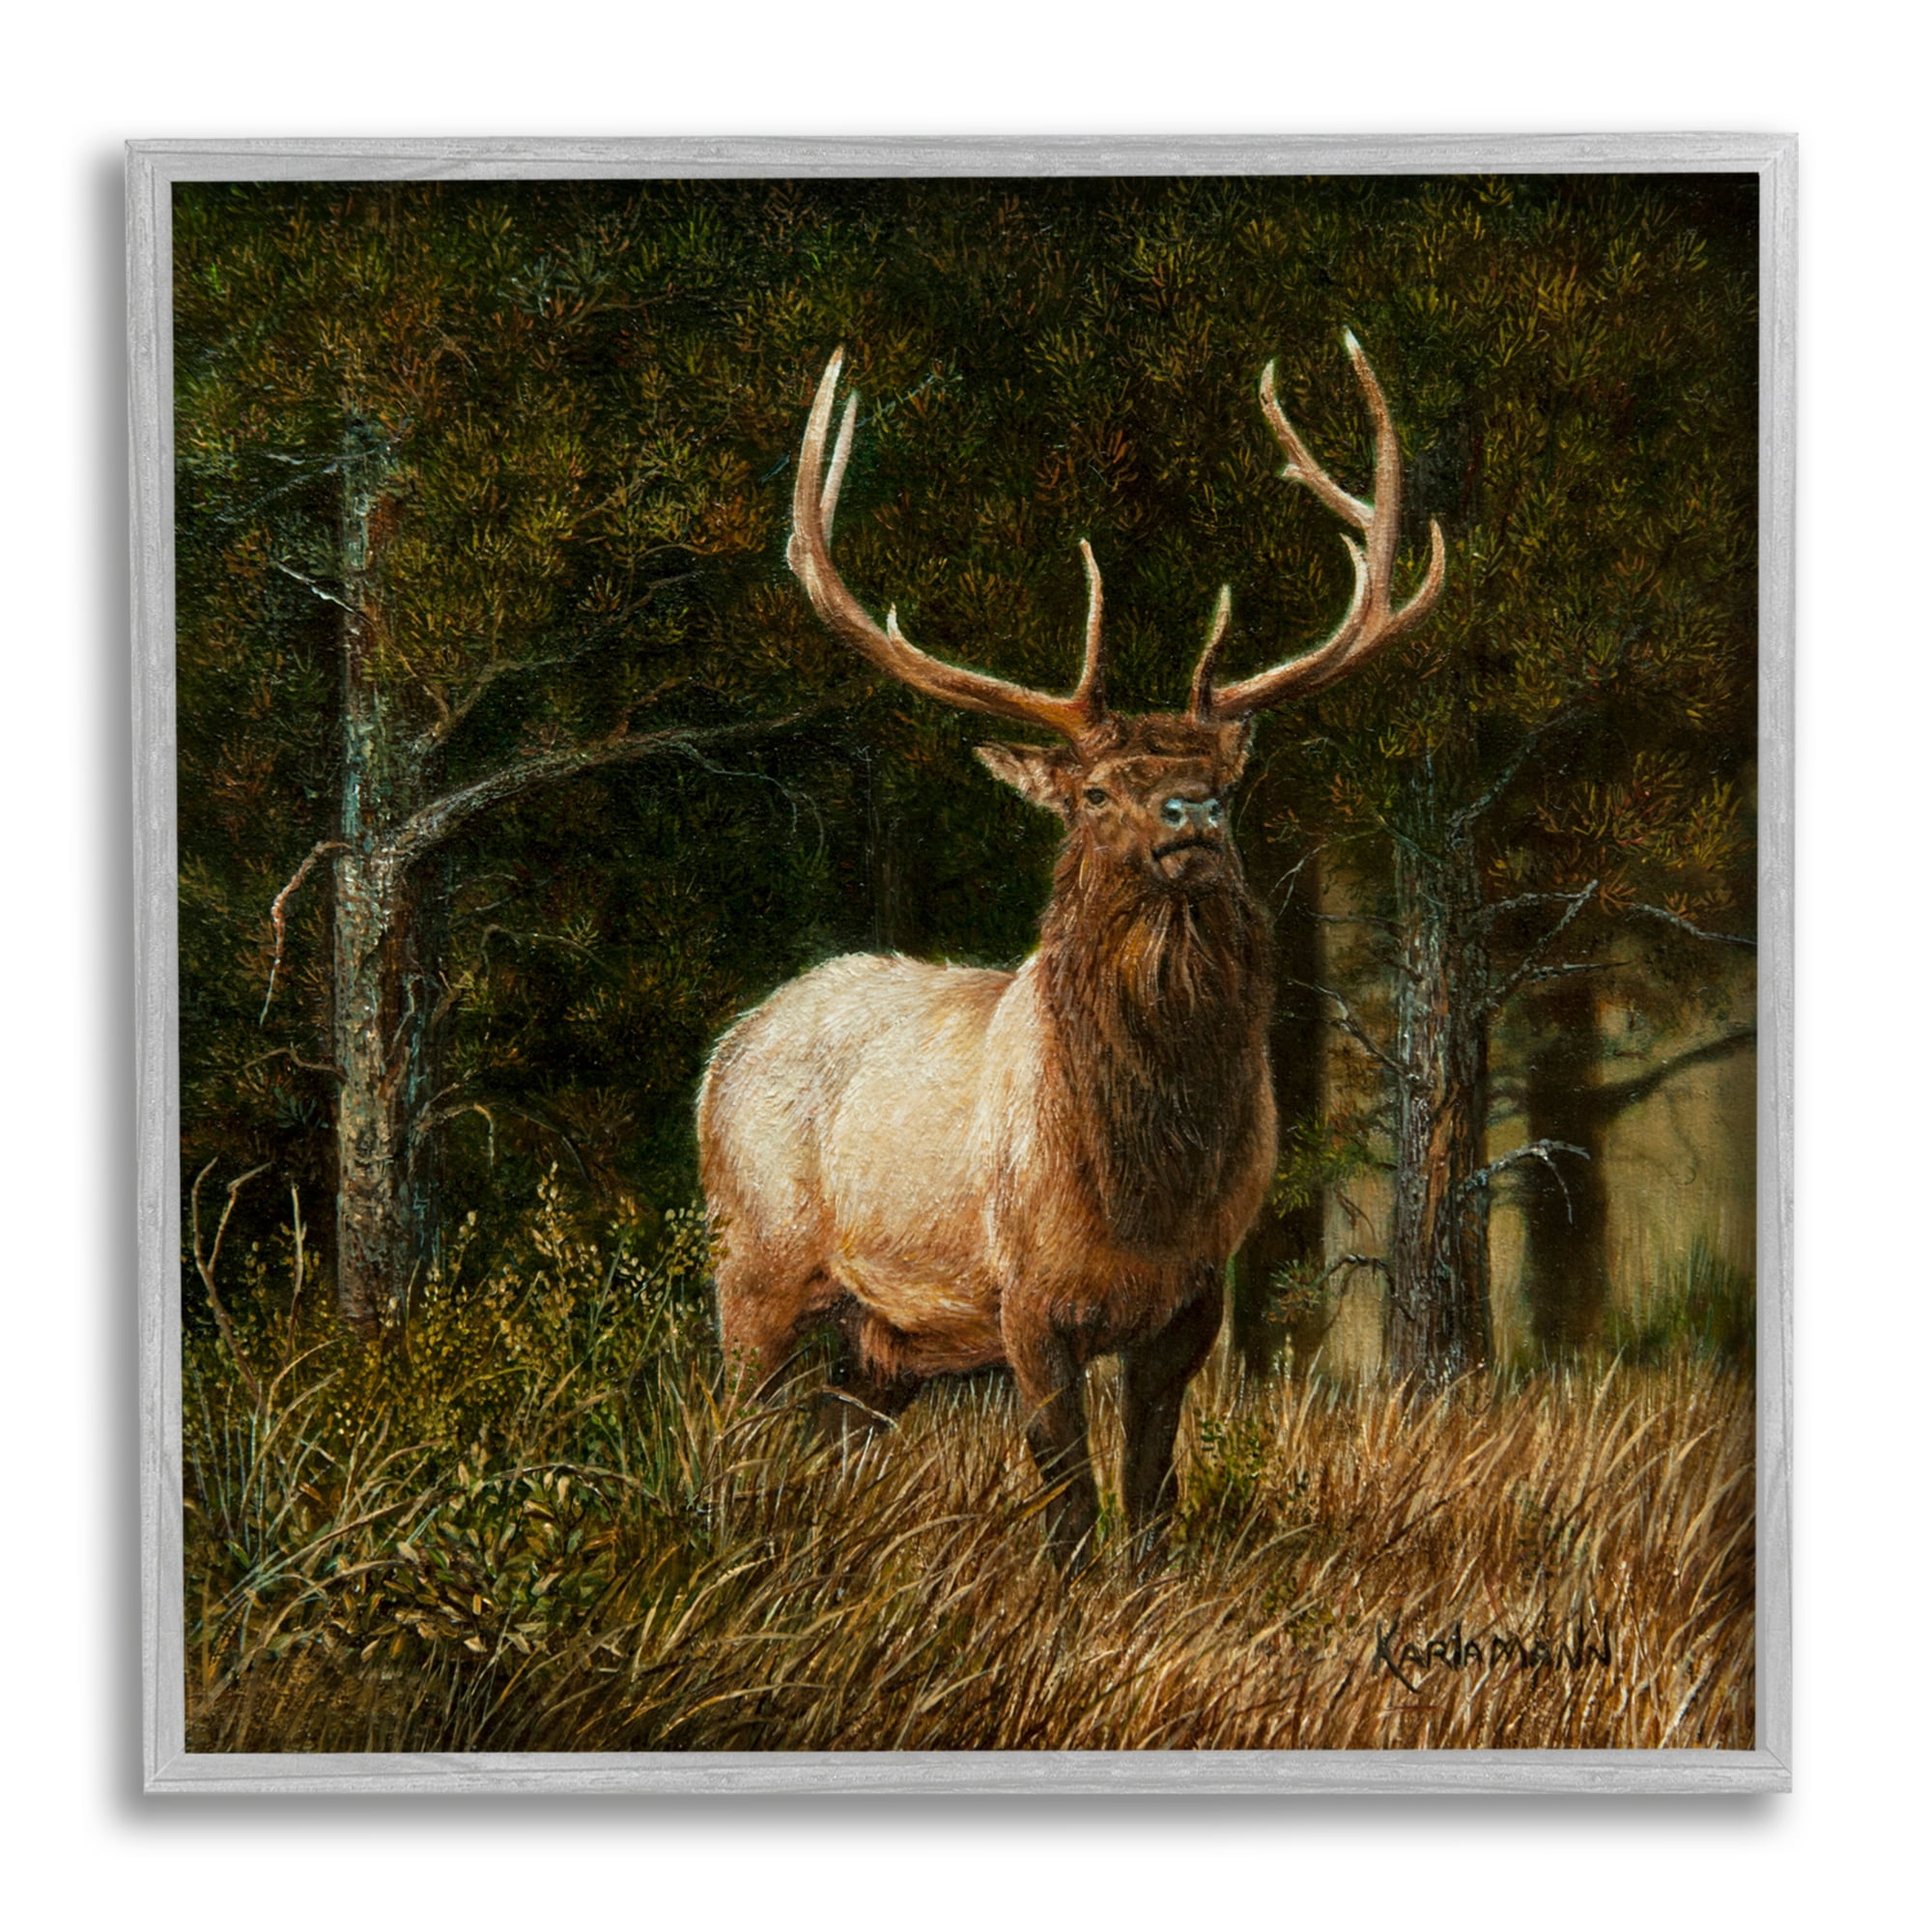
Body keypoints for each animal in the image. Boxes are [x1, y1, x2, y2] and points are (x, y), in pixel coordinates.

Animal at [698, 333, 1444, 1567]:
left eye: (1225, 781)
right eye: (1095, 790)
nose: (1190, 813)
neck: (1140, 1185)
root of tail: (730, 1041)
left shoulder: (1193, 1296)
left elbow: (1149, 1485)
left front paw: (1146, 1586)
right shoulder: (1021, 1296)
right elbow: (1064, 1489)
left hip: (881, 1337)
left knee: (831, 1432)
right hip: (751, 1258)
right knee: (729, 1420)